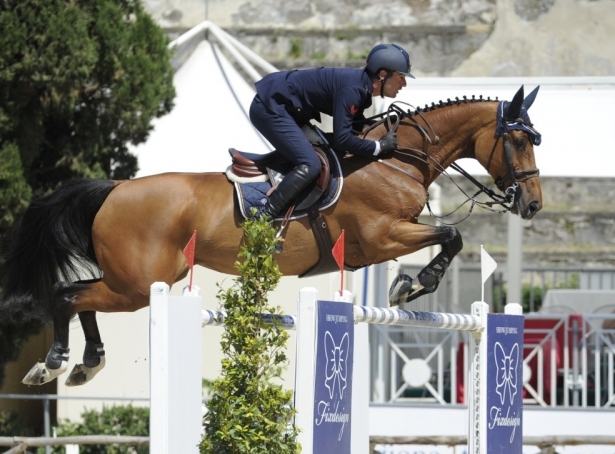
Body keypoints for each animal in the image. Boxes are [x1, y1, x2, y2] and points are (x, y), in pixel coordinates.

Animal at [0, 86, 540, 386]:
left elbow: (449, 237)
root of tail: (113, 189)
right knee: (67, 295)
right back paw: (54, 363)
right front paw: (412, 285)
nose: (532, 204)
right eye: (517, 140)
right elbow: (450, 235)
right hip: (139, 284)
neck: (395, 159)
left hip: (132, 280)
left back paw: (85, 363)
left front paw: (409, 285)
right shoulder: (382, 237)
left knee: (78, 296)